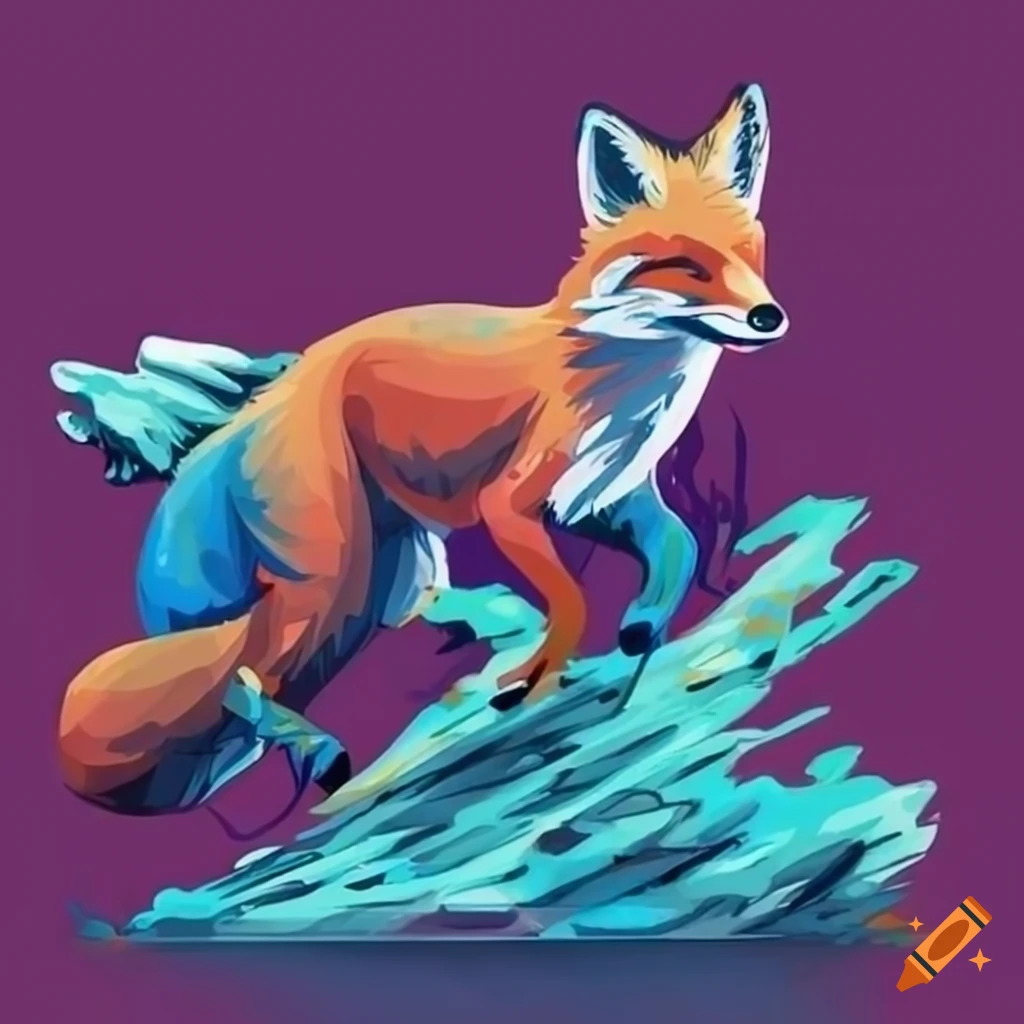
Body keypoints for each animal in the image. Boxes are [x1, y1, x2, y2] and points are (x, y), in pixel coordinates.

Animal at [52, 83, 789, 823]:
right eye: (688, 267)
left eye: (752, 256)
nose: (769, 317)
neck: (618, 382)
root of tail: (257, 404)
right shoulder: (510, 503)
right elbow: (573, 600)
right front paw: (537, 676)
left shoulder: (599, 497)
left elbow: (678, 543)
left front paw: (644, 623)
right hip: (332, 579)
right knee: (243, 677)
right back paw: (322, 754)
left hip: (382, 591)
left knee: (249, 689)